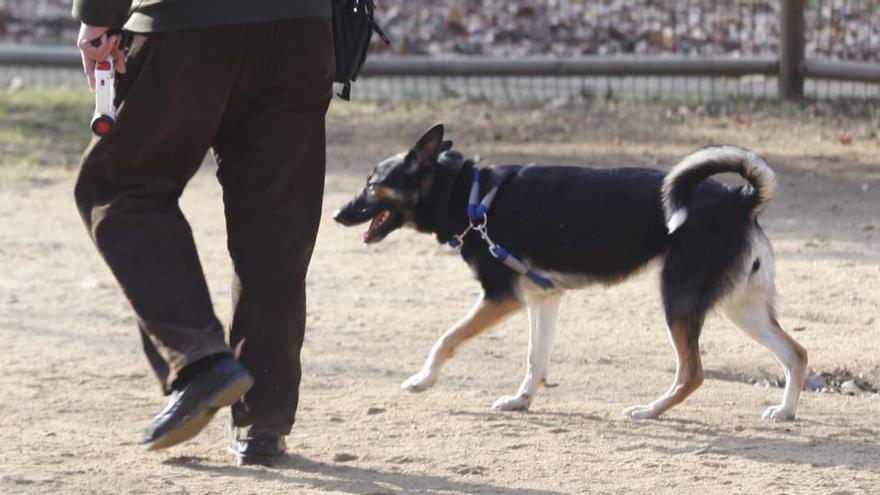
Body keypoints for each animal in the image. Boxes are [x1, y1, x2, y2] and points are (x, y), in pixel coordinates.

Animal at [334, 125, 808, 422]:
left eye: (372, 184)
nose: (337, 214)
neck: (471, 195)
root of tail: (740, 198)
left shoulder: (500, 298)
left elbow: (446, 339)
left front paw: (421, 381)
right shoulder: (542, 298)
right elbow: (535, 360)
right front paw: (521, 400)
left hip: (679, 300)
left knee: (692, 373)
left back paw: (649, 411)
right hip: (741, 307)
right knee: (795, 353)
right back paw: (784, 411)